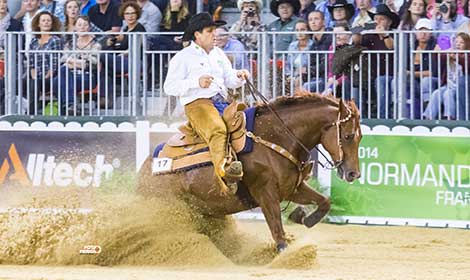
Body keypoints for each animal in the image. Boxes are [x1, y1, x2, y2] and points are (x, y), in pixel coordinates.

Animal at [137, 93, 364, 252]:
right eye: (348, 136)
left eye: (360, 136)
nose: (354, 174)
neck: (277, 138)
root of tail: (145, 170)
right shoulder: (266, 193)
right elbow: (277, 229)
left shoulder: (292, 188)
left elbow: (324, 201)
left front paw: (302, 217)